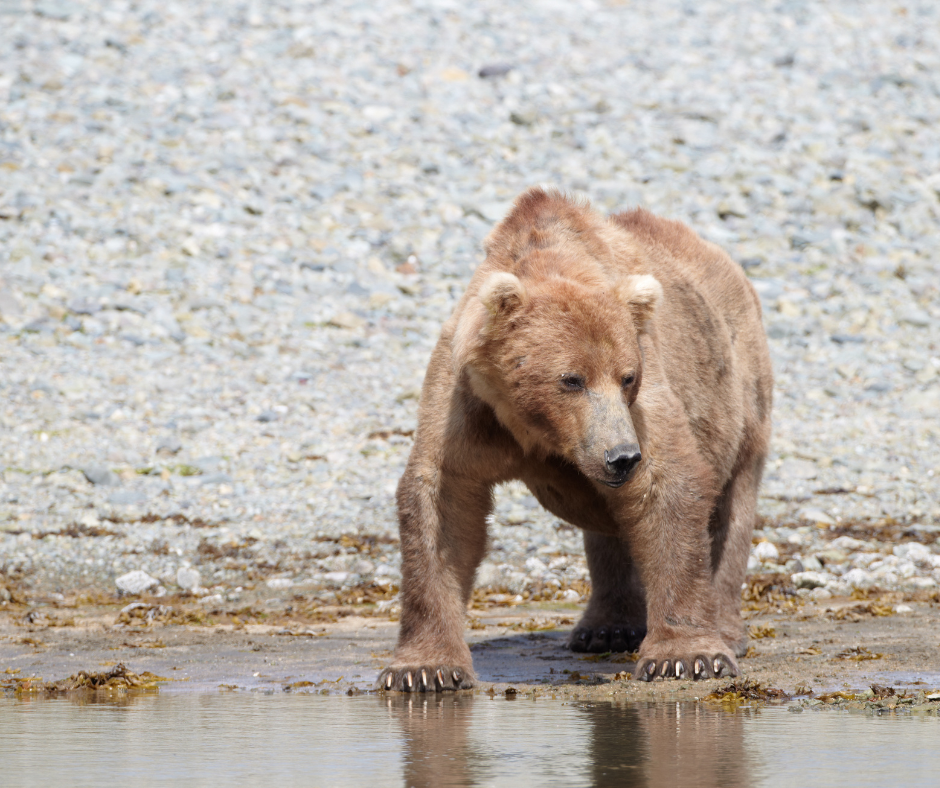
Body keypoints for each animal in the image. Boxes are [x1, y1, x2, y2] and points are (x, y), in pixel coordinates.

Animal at [378, 187, 772, 691]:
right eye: (571, 379)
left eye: (627, 377)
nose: (622, 456)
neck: (536, 429)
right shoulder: (463, 401)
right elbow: (443, 504)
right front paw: (424, 669)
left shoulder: (645, 394)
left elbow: (668, 486)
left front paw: (686, 657)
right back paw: (606, 628)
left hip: (740, 389)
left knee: (730, 508)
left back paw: (725, 629)